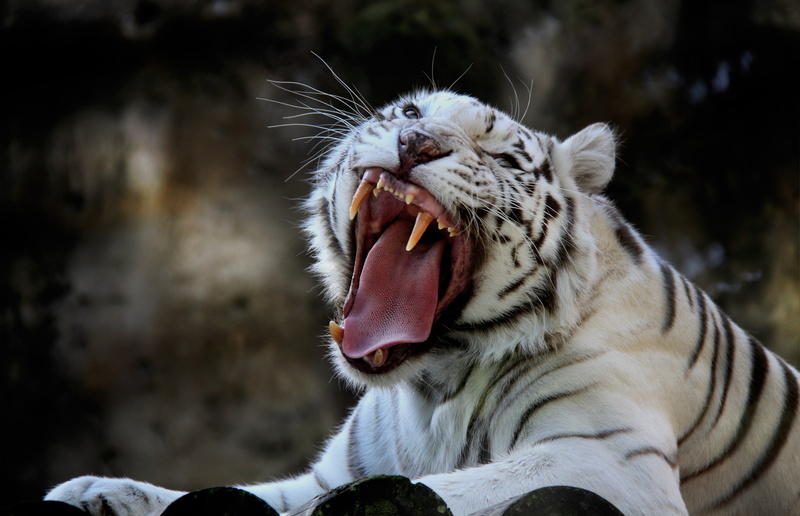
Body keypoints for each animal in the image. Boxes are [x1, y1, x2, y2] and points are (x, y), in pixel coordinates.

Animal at [45, 89, 799, 516]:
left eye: (500, 157)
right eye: (409, 114)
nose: (416, 141)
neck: (435, 382)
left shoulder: (603, 458)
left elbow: (456, 488)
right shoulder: (342, 470)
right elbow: (241, 495)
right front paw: (91, 492)